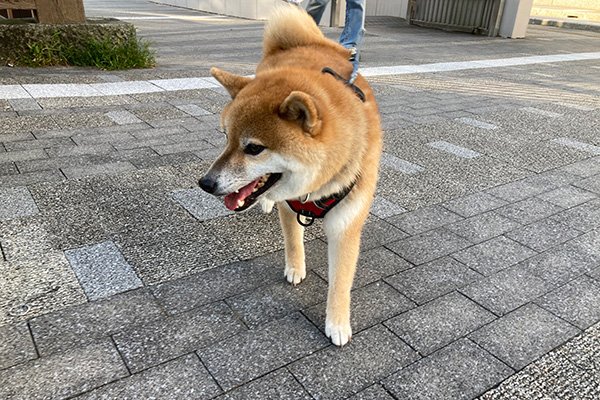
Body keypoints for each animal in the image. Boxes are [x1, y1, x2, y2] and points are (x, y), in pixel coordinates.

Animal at [199, 4, 382, 346]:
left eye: (254, 148)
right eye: (226, 137)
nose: (205, 184)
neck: (318, 185)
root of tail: (303, 43)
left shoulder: (347, 222)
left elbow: (341, 280)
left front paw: (337, 323)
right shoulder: (290, 203)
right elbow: (293, 240)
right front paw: (296, 269)